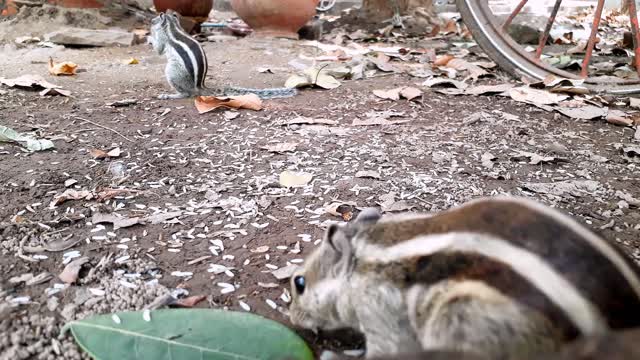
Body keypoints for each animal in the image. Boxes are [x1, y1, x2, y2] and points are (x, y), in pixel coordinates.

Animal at [149, 10, 296, 100]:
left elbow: (159, 49)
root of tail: (199, 86)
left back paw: (171, 95)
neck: (172, 27)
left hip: (173, 71)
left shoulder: (163, 39)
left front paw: (150, 38)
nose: (150, 22)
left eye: (155, 20)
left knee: (186, 93)